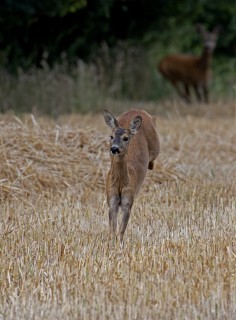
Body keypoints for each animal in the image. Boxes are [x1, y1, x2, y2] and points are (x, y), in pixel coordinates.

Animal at [103, 109, 160, 244]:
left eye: (125, 138)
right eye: (111, 136)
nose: (114, 149)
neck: (120, 183)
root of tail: (137, 110)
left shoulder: (128, 200)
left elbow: (121, 231)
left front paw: (120, 244)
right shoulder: (111, 198)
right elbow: (113, 230)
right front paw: (111, 244)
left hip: (156, 144)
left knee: (153, 159)